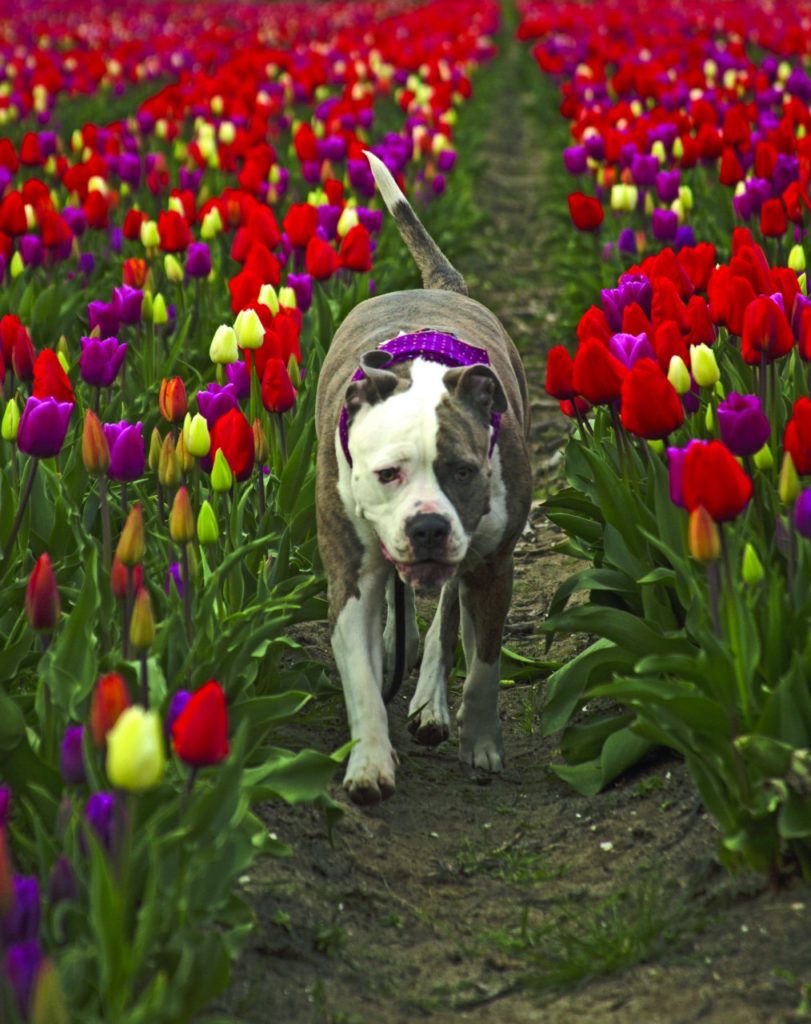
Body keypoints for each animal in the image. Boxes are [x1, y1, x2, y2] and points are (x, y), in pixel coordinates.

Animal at [311, 151, 532, 806]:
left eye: (463, 470)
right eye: (387, 473)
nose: (429, 527)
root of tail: (436, 287)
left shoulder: (493, 564)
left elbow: (483, 664)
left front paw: (480, 744)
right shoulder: (350, 571)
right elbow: (360, 675)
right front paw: (368, 764)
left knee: (445, 617)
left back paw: (431, 702)